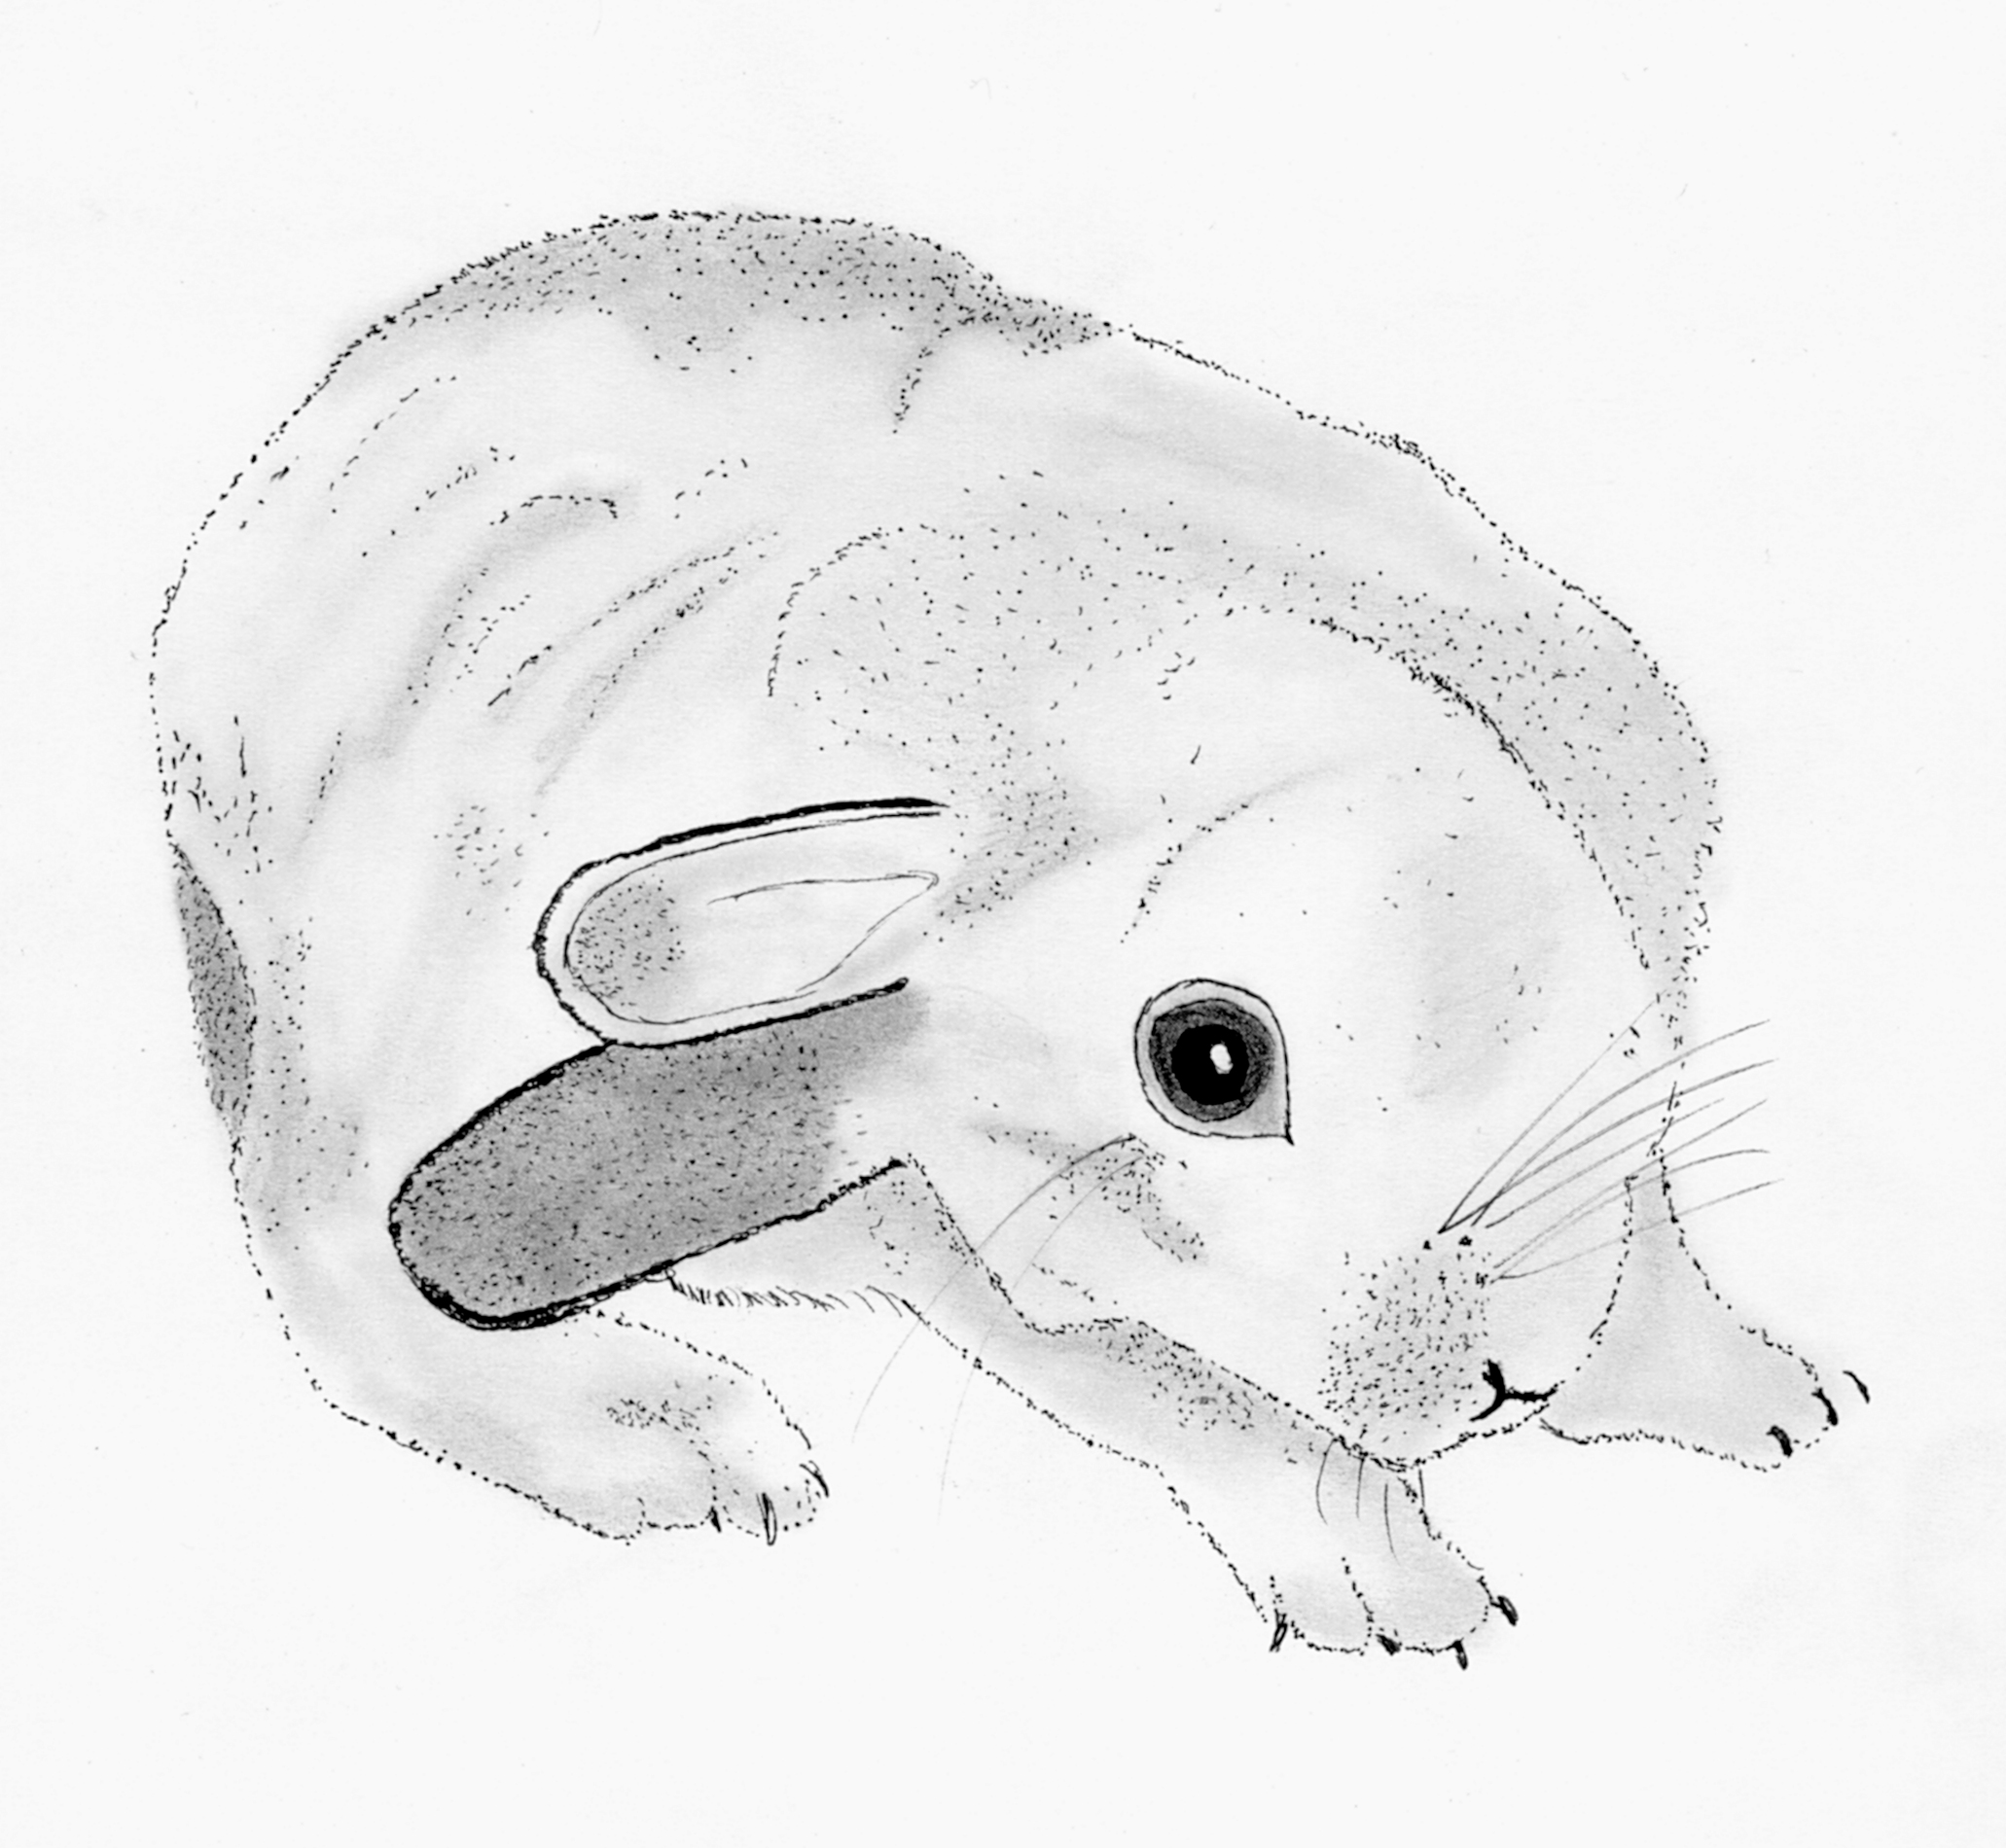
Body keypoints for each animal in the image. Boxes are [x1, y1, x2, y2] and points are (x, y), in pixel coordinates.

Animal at [154, 209, 1860, 1660]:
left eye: (1210, 1060)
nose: (1490, 1386)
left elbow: (1648, 1245)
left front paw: (1778, 1402)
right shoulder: (967, 1245)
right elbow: (1203, 1410)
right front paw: (1408, 1604)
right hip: (371, 1009)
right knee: (325, 1256)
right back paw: (688, 1447)